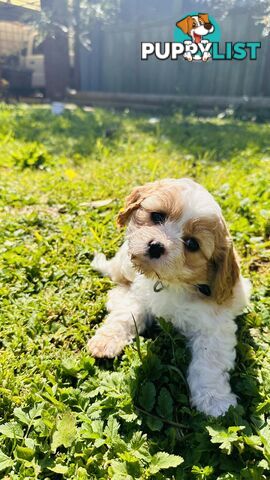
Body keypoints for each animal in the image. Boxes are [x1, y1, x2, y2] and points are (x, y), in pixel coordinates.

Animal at [88, 180, 251, 416]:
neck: (169, 282)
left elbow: (209, 361)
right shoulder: (139, 295)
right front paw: (106, 340)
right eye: (157, 216)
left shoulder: (214, 326)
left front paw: (215, 400)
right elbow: (125, 315)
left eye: (192, 244)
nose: (156, 246)